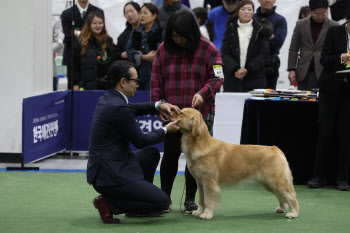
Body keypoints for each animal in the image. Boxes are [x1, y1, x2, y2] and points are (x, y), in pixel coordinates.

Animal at [171, 108, 300, 219]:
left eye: (181, 113)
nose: (171, 110)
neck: (199, 143)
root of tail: (276, 149)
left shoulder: (209, 182)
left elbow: (208, 200)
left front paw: (207, 214)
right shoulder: (200, 182)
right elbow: (201, 200)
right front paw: (199, 212)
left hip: (276, 181)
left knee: (291, 196)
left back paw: (293, 213)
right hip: (268, 183)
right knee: (281, 196)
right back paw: (282, 208)